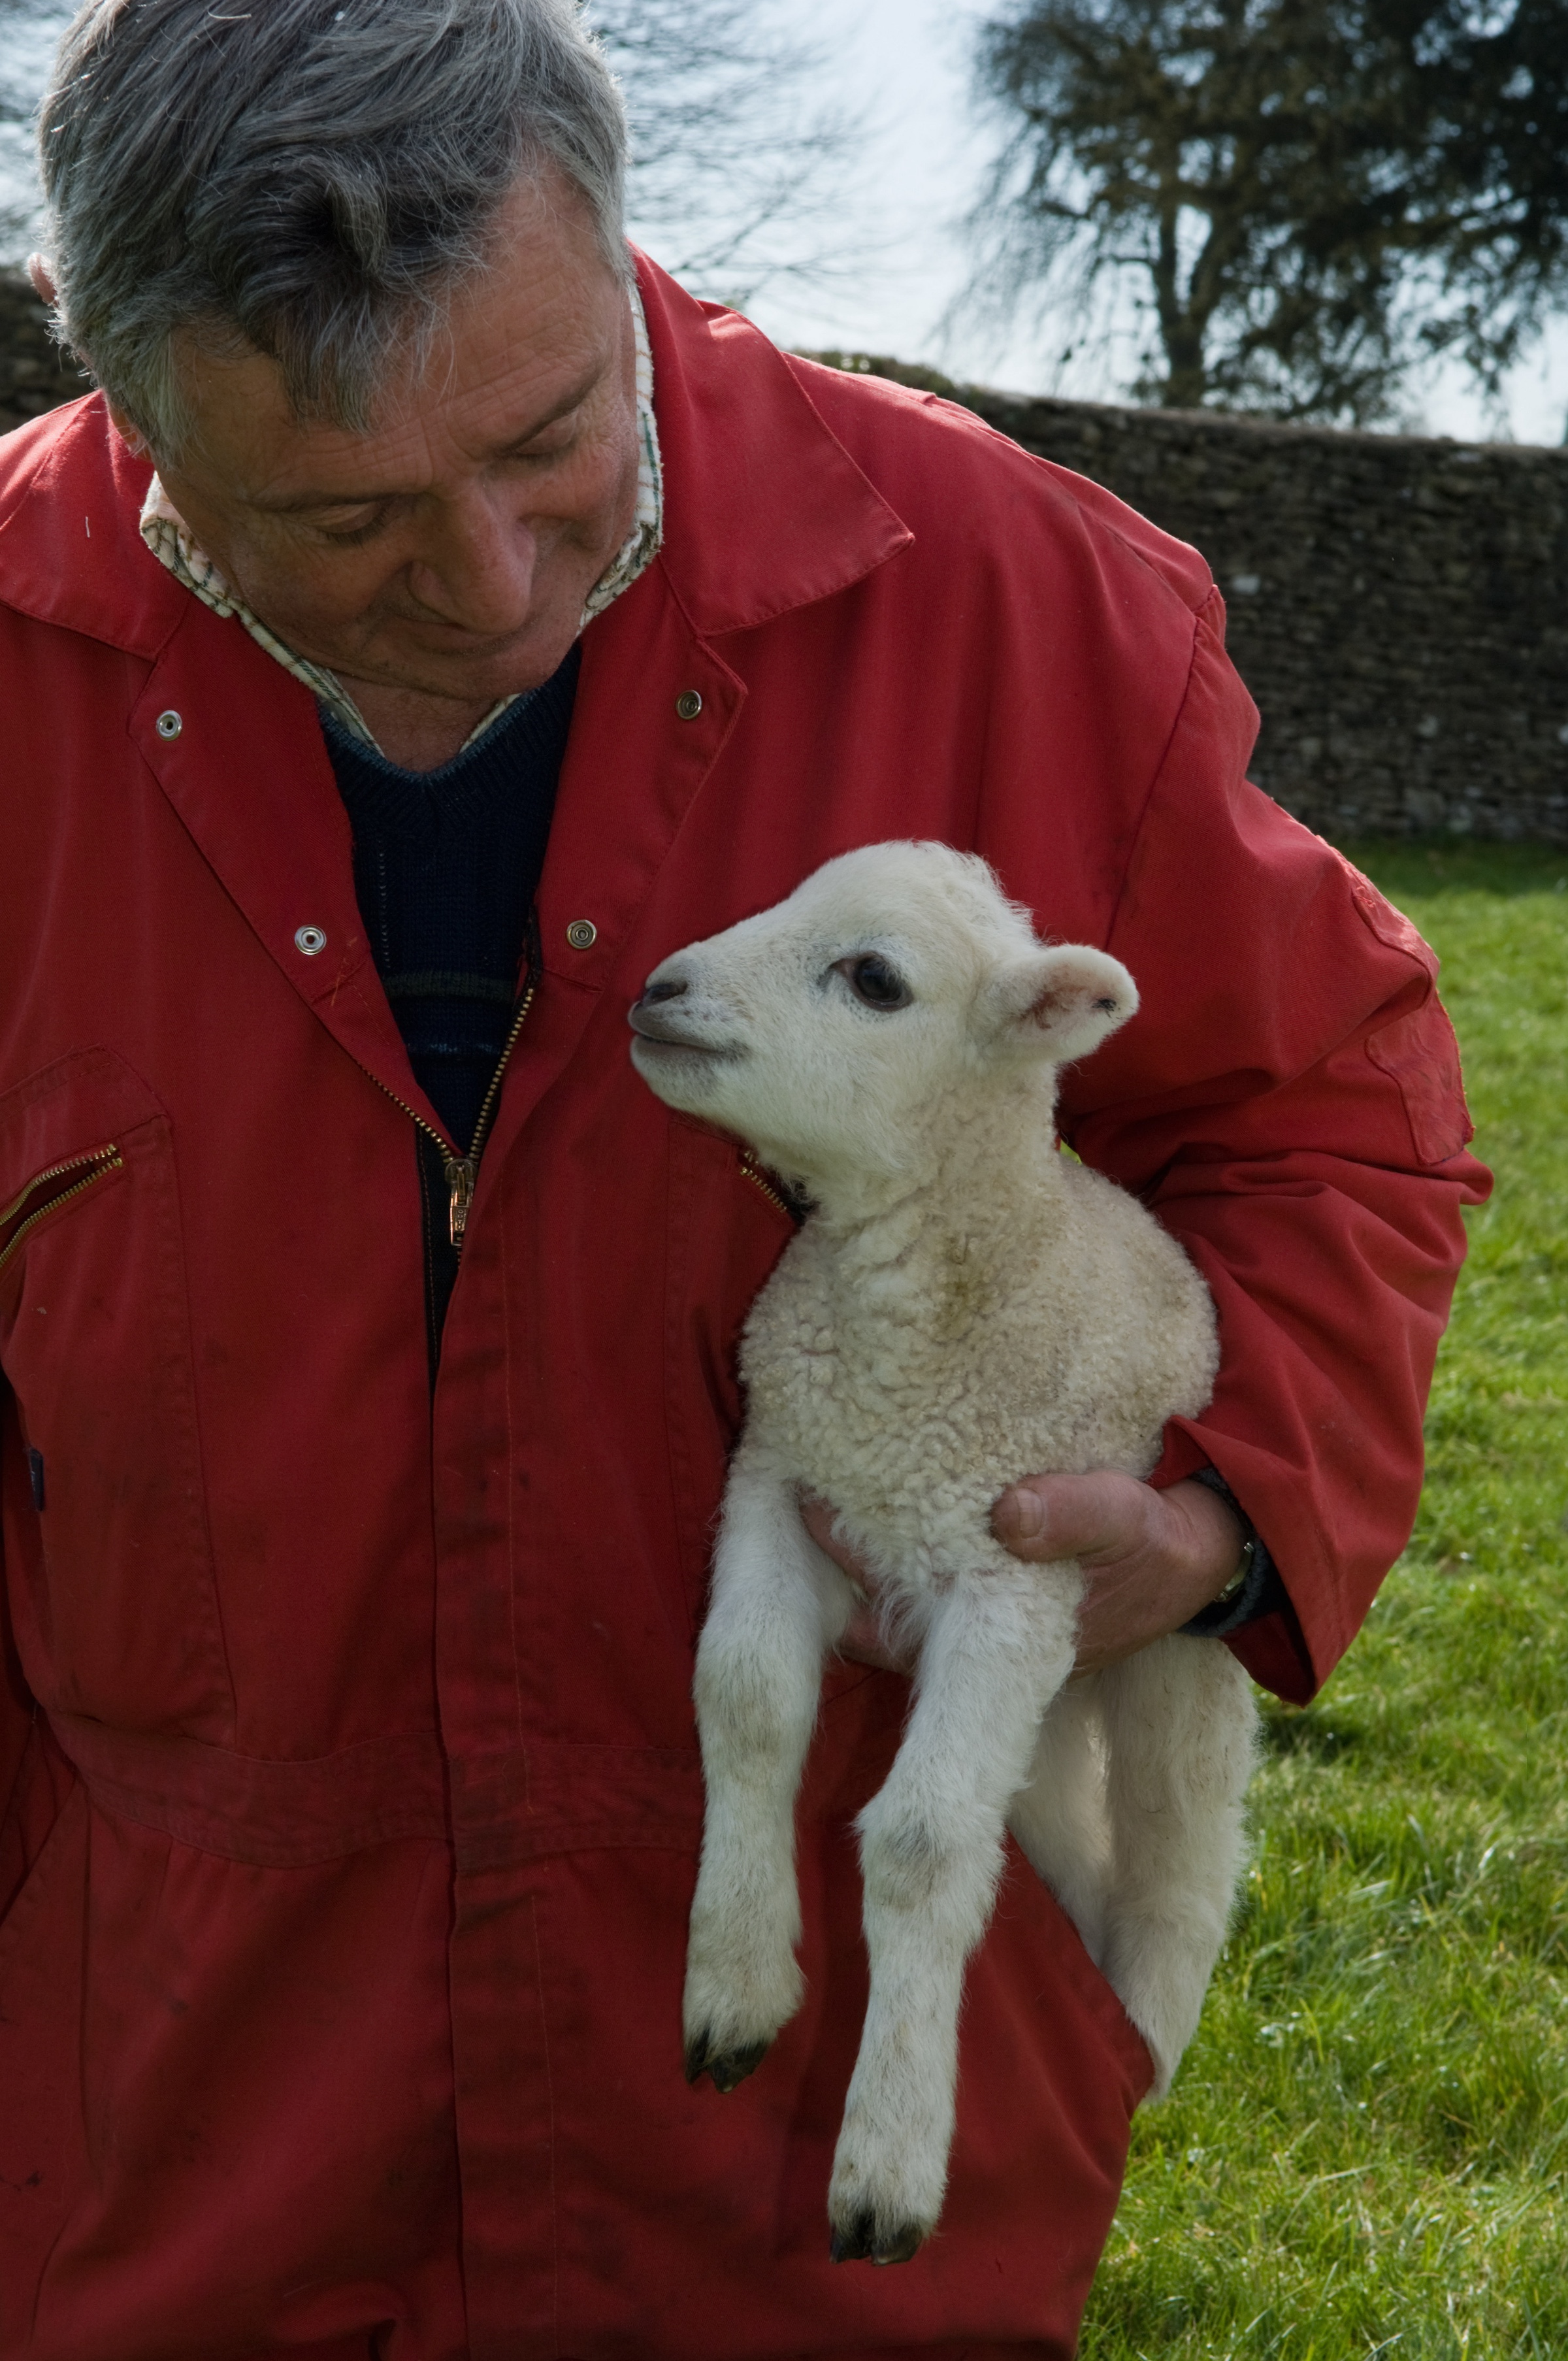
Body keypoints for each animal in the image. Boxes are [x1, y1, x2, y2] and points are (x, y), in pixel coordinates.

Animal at [627, 840, 1257, 2267]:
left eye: (875, 979)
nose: (658, 990)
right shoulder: (780, 1477)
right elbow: (745, 1702)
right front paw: (736, 1981)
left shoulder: (1012, 1569)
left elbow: (917, 1843)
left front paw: (887, 2164)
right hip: (1052, 1701)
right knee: (1061, 1841)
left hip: (1167, 1658)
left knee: (1179, 1858)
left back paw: (1142, 2044)